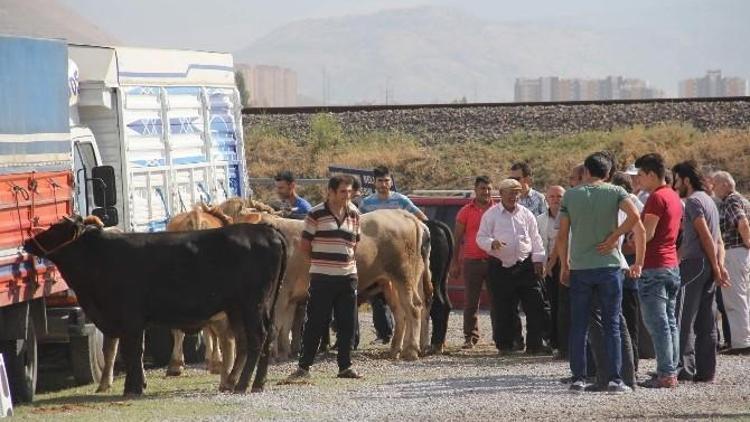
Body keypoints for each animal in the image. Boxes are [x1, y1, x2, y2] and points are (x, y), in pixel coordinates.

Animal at [24, 216, 288, 398]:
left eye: (55, 228)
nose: (27, 241)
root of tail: (265, 230)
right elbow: (133, 351)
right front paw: (138, 384)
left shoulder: (130, 318)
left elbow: (133, 351)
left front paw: (132, 388)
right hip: (243, 308)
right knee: (254, 339)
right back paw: (251, 383)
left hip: (251, 304)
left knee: (256, 338)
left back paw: (242, 384)